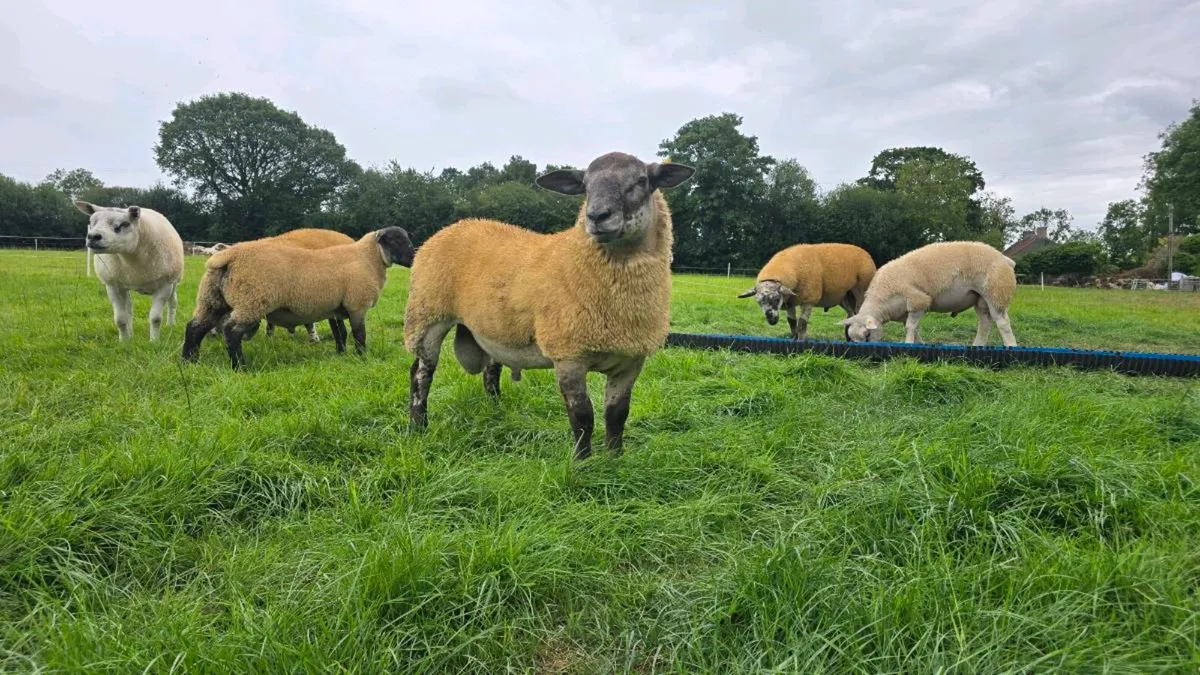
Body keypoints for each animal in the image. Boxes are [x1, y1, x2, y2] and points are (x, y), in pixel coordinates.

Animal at [76, 201, 185, 341]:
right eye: (91, 222)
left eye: (125, 224)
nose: (93, 237)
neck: (130, 259)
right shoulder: (112, 286)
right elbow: (121, 319)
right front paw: (124, 341)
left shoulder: (165, 285)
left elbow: (155, 318)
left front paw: (154, 341)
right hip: (124, 284)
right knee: (128, 309)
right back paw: (131, 334)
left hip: (174, 281)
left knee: (173, 302)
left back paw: (170, 324)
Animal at [181, 226, 415, 370]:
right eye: (397, 240)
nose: (415, 259)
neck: (367, 258)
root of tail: (227, 255)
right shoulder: (356, 305)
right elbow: (359, 334)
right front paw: (361, 357)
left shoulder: (335, 308)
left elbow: (340, 333)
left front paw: (341, 354)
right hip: (252, 301)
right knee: (231, 332)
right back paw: (240, 367)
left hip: (212, 299)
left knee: (195, 327)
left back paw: (189, 361)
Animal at [403, 151, 695, 460]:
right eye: (585, 186)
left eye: (641, 180)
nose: (597, 216)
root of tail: (455, 225)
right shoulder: (569, 355)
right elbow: (583, 417)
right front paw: (582, 463)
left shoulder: (630, 360)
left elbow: (617, 415)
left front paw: (615, 459)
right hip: (427, 317)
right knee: (421, 374)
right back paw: (418, 426)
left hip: (493, 327)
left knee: (490, 371)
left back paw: (496, 411)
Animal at [736, 242, 876, 340]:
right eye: (759, 302)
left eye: (776, 298)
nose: (771, 320)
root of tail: (866, 253)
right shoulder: (790, 302)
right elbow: (791, 322)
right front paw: (793, 338)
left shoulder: (809, 299)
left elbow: (802, 323)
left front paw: (801, 340)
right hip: (845, 296)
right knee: (851, 315)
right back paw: (848, 338)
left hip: (861, 290)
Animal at [841, 240, 1018, 346]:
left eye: (867, 336)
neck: (882, 301)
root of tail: (1005, 259)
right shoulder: (906, 311)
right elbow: (914, 328)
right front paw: (920, 344)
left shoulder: (918, 301)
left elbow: (910, 327)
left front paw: (908, 344)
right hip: (980, 299)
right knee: (985, 322)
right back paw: (977, 345)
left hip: (996, 292)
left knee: (1002, 322)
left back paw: (1011, 346)